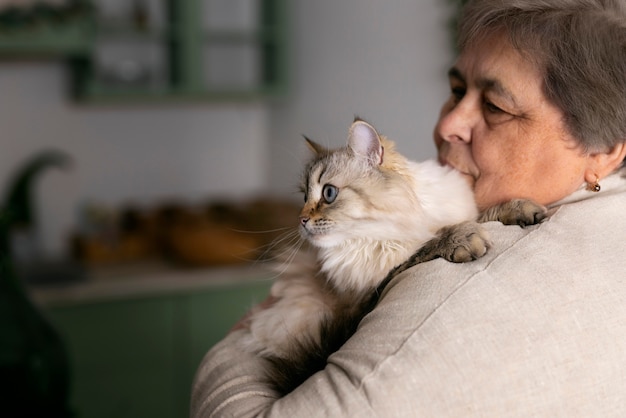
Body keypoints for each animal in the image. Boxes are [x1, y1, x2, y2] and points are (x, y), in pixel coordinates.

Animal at [236, 118, 544, 396]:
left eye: (329, 193)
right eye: (303, 198)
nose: (300, 220)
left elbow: (483, 215)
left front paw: (522, 209)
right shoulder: (364, 297)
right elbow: (425, 246)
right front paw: (461, 237)